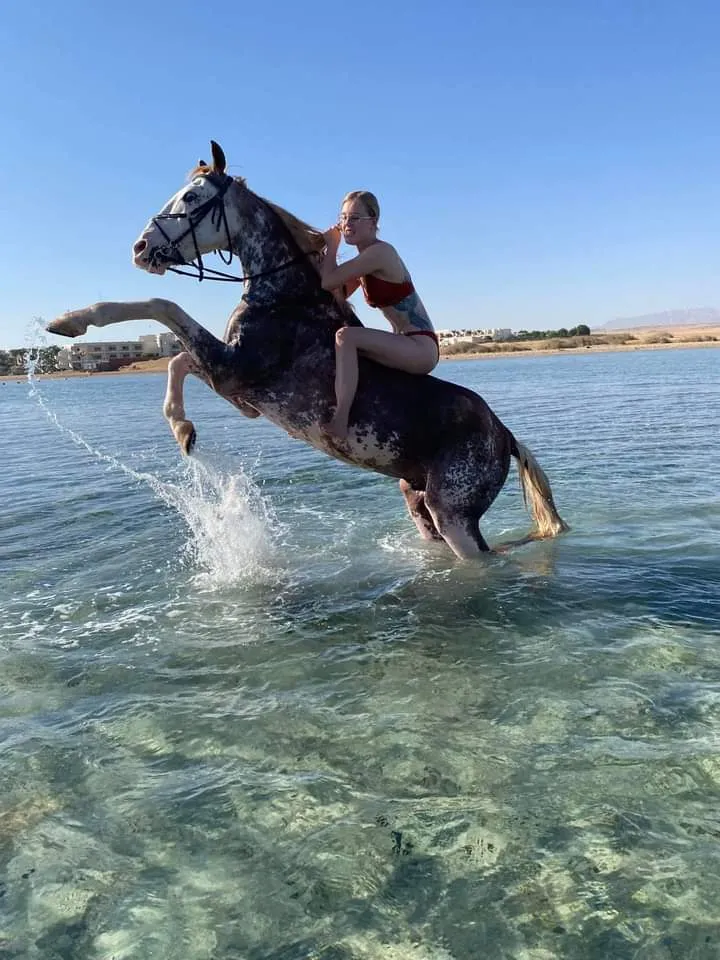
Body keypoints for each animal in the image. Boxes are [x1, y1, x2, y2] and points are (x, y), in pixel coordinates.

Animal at [47, 141, 568, 559]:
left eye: (191, 197)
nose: (139, 249)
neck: (282, 293)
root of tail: (505, 436)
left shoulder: (232, 369)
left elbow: (162, 306)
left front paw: (72, 321)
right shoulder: (235, 388)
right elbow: (176, 356)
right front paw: (182, 430)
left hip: (455, 516)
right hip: (419, 504)